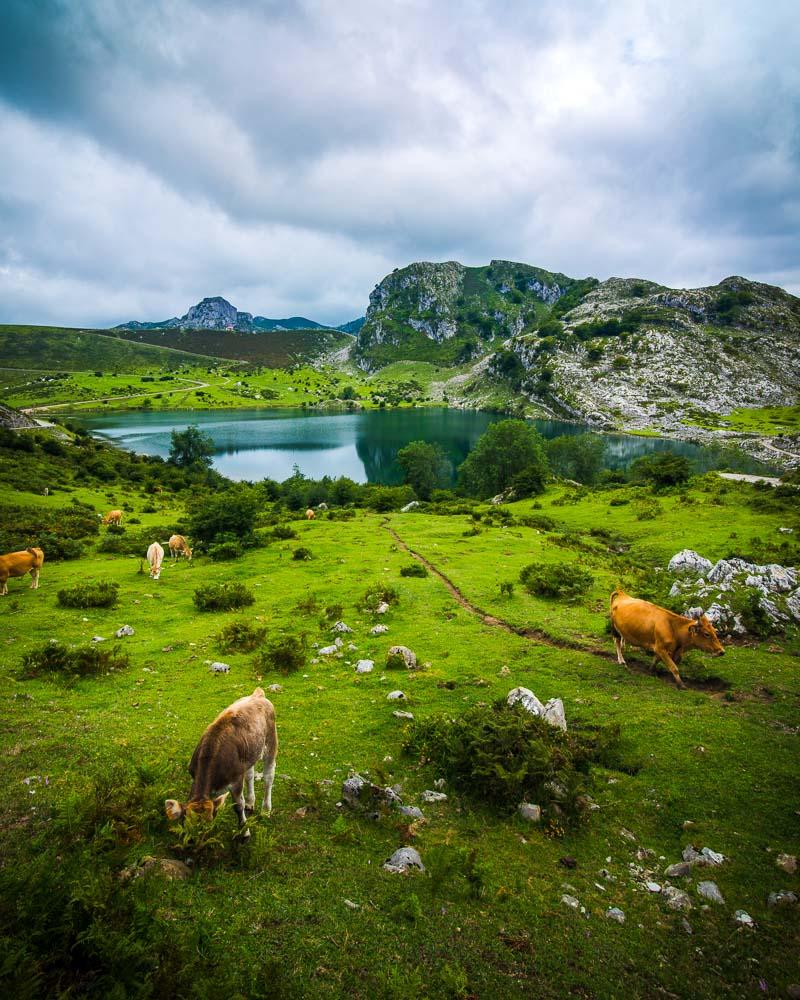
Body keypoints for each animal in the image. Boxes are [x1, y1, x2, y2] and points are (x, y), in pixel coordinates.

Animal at [163, 688, 278, 836]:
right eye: (185, 822)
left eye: (208, 823)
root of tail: (257, 694)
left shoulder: (236, 781)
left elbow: (238, 806)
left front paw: (244, 831)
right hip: (249, 755)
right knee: (250, 775)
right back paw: (250, 802)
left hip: (271, 744)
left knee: (268, 777)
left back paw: (266, 810)